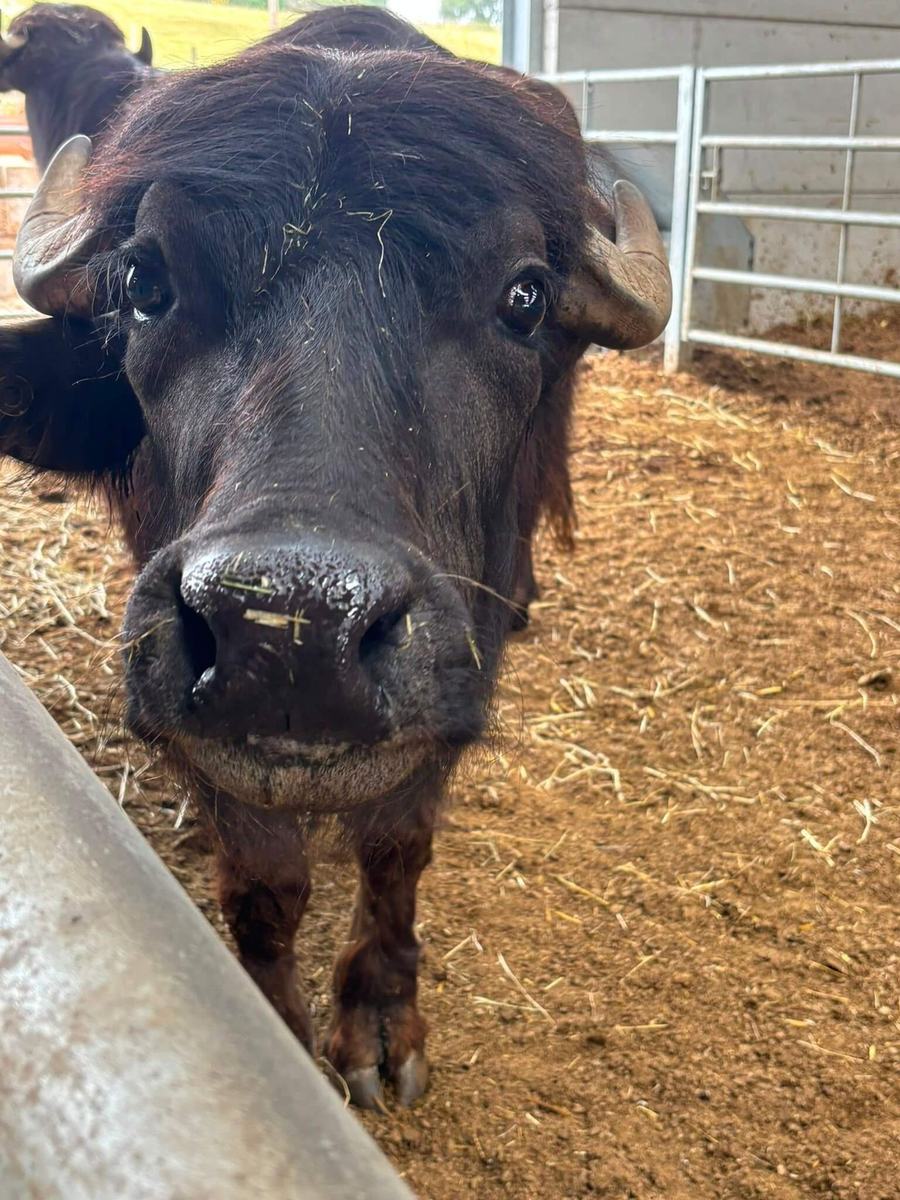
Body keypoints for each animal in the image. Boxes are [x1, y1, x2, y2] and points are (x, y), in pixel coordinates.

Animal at [0, 8, 670, 1108]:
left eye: (525, 297)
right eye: (145, 282)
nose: (290, 636)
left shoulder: (454, 675)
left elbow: (397, 846)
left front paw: (382, 1017)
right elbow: (268, 883)